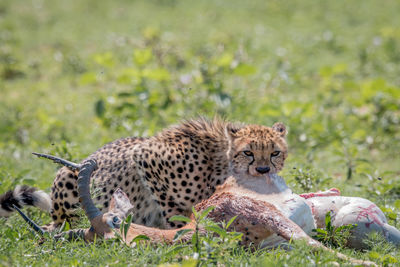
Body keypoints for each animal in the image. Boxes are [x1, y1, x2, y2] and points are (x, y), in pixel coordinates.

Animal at [0, 118, 288, 231]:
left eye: (275, 153)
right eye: (248, 152)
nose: (263, 170)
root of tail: (56, 219)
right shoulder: (145, 156)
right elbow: (174, 209)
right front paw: (180, 232)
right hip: (67, 177)